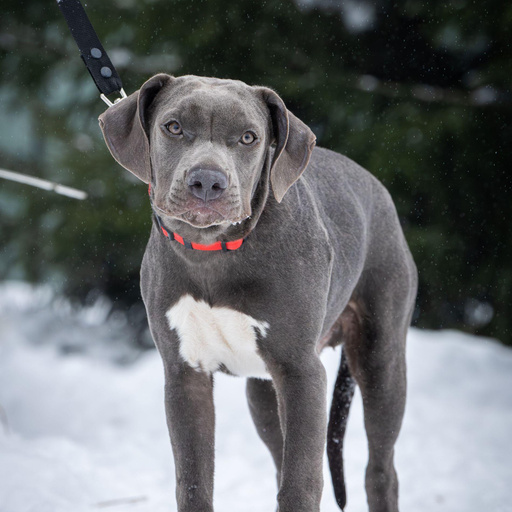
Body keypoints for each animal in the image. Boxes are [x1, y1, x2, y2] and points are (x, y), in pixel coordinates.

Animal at [99, 74, 418, 512]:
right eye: (174, 126)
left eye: (249, 137)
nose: (208, 181)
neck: (211, 251)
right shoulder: (185, 375)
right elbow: (193, 481)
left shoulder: (301, 372)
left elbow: (301, 482)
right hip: (263, 393)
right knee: (279, 455)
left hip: (380, 358)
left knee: (381, 468)